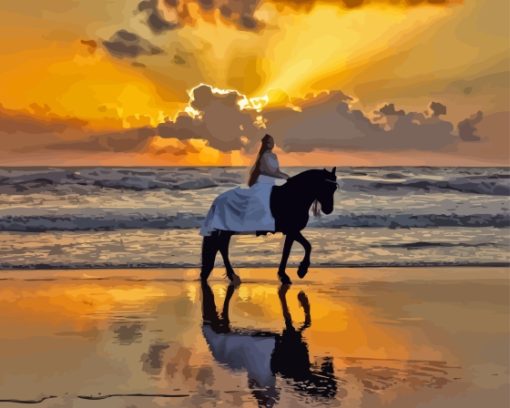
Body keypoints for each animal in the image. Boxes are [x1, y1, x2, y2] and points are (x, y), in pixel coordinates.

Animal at [200, 166, 338, 284]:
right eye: (325, 186)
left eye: (334, 188)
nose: (328, 209)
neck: (293, 197)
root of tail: (217, 200)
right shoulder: (292, 230)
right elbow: (306, 246)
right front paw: (300, 271)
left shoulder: (291, 232)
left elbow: (289, 251)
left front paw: (285, 274)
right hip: (227, 230)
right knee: (222, 247)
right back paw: (233, 275)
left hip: (227, 231)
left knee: (221, 247)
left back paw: (230, 275)